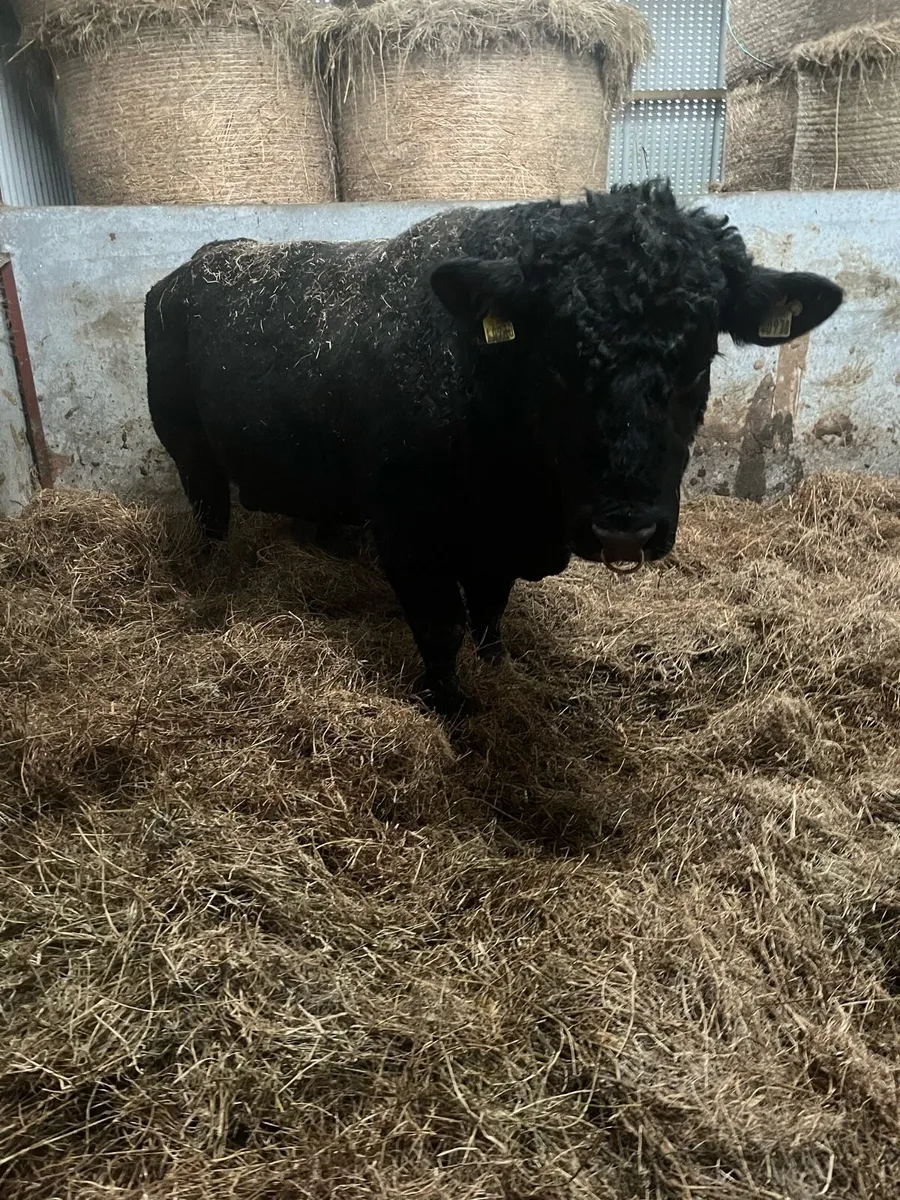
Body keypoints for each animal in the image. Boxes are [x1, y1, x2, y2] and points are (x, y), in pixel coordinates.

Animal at [145, 181, 842, 716]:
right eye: (554, 357)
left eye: (700, 357)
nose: (625, 528)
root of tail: (189, 269)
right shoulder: (410, 536)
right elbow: (443, 626)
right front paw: (450, 708)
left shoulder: (496, 547)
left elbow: (488, 611)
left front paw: (499, 668)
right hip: (189, 452)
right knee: (210, 517)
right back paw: (212, 579)